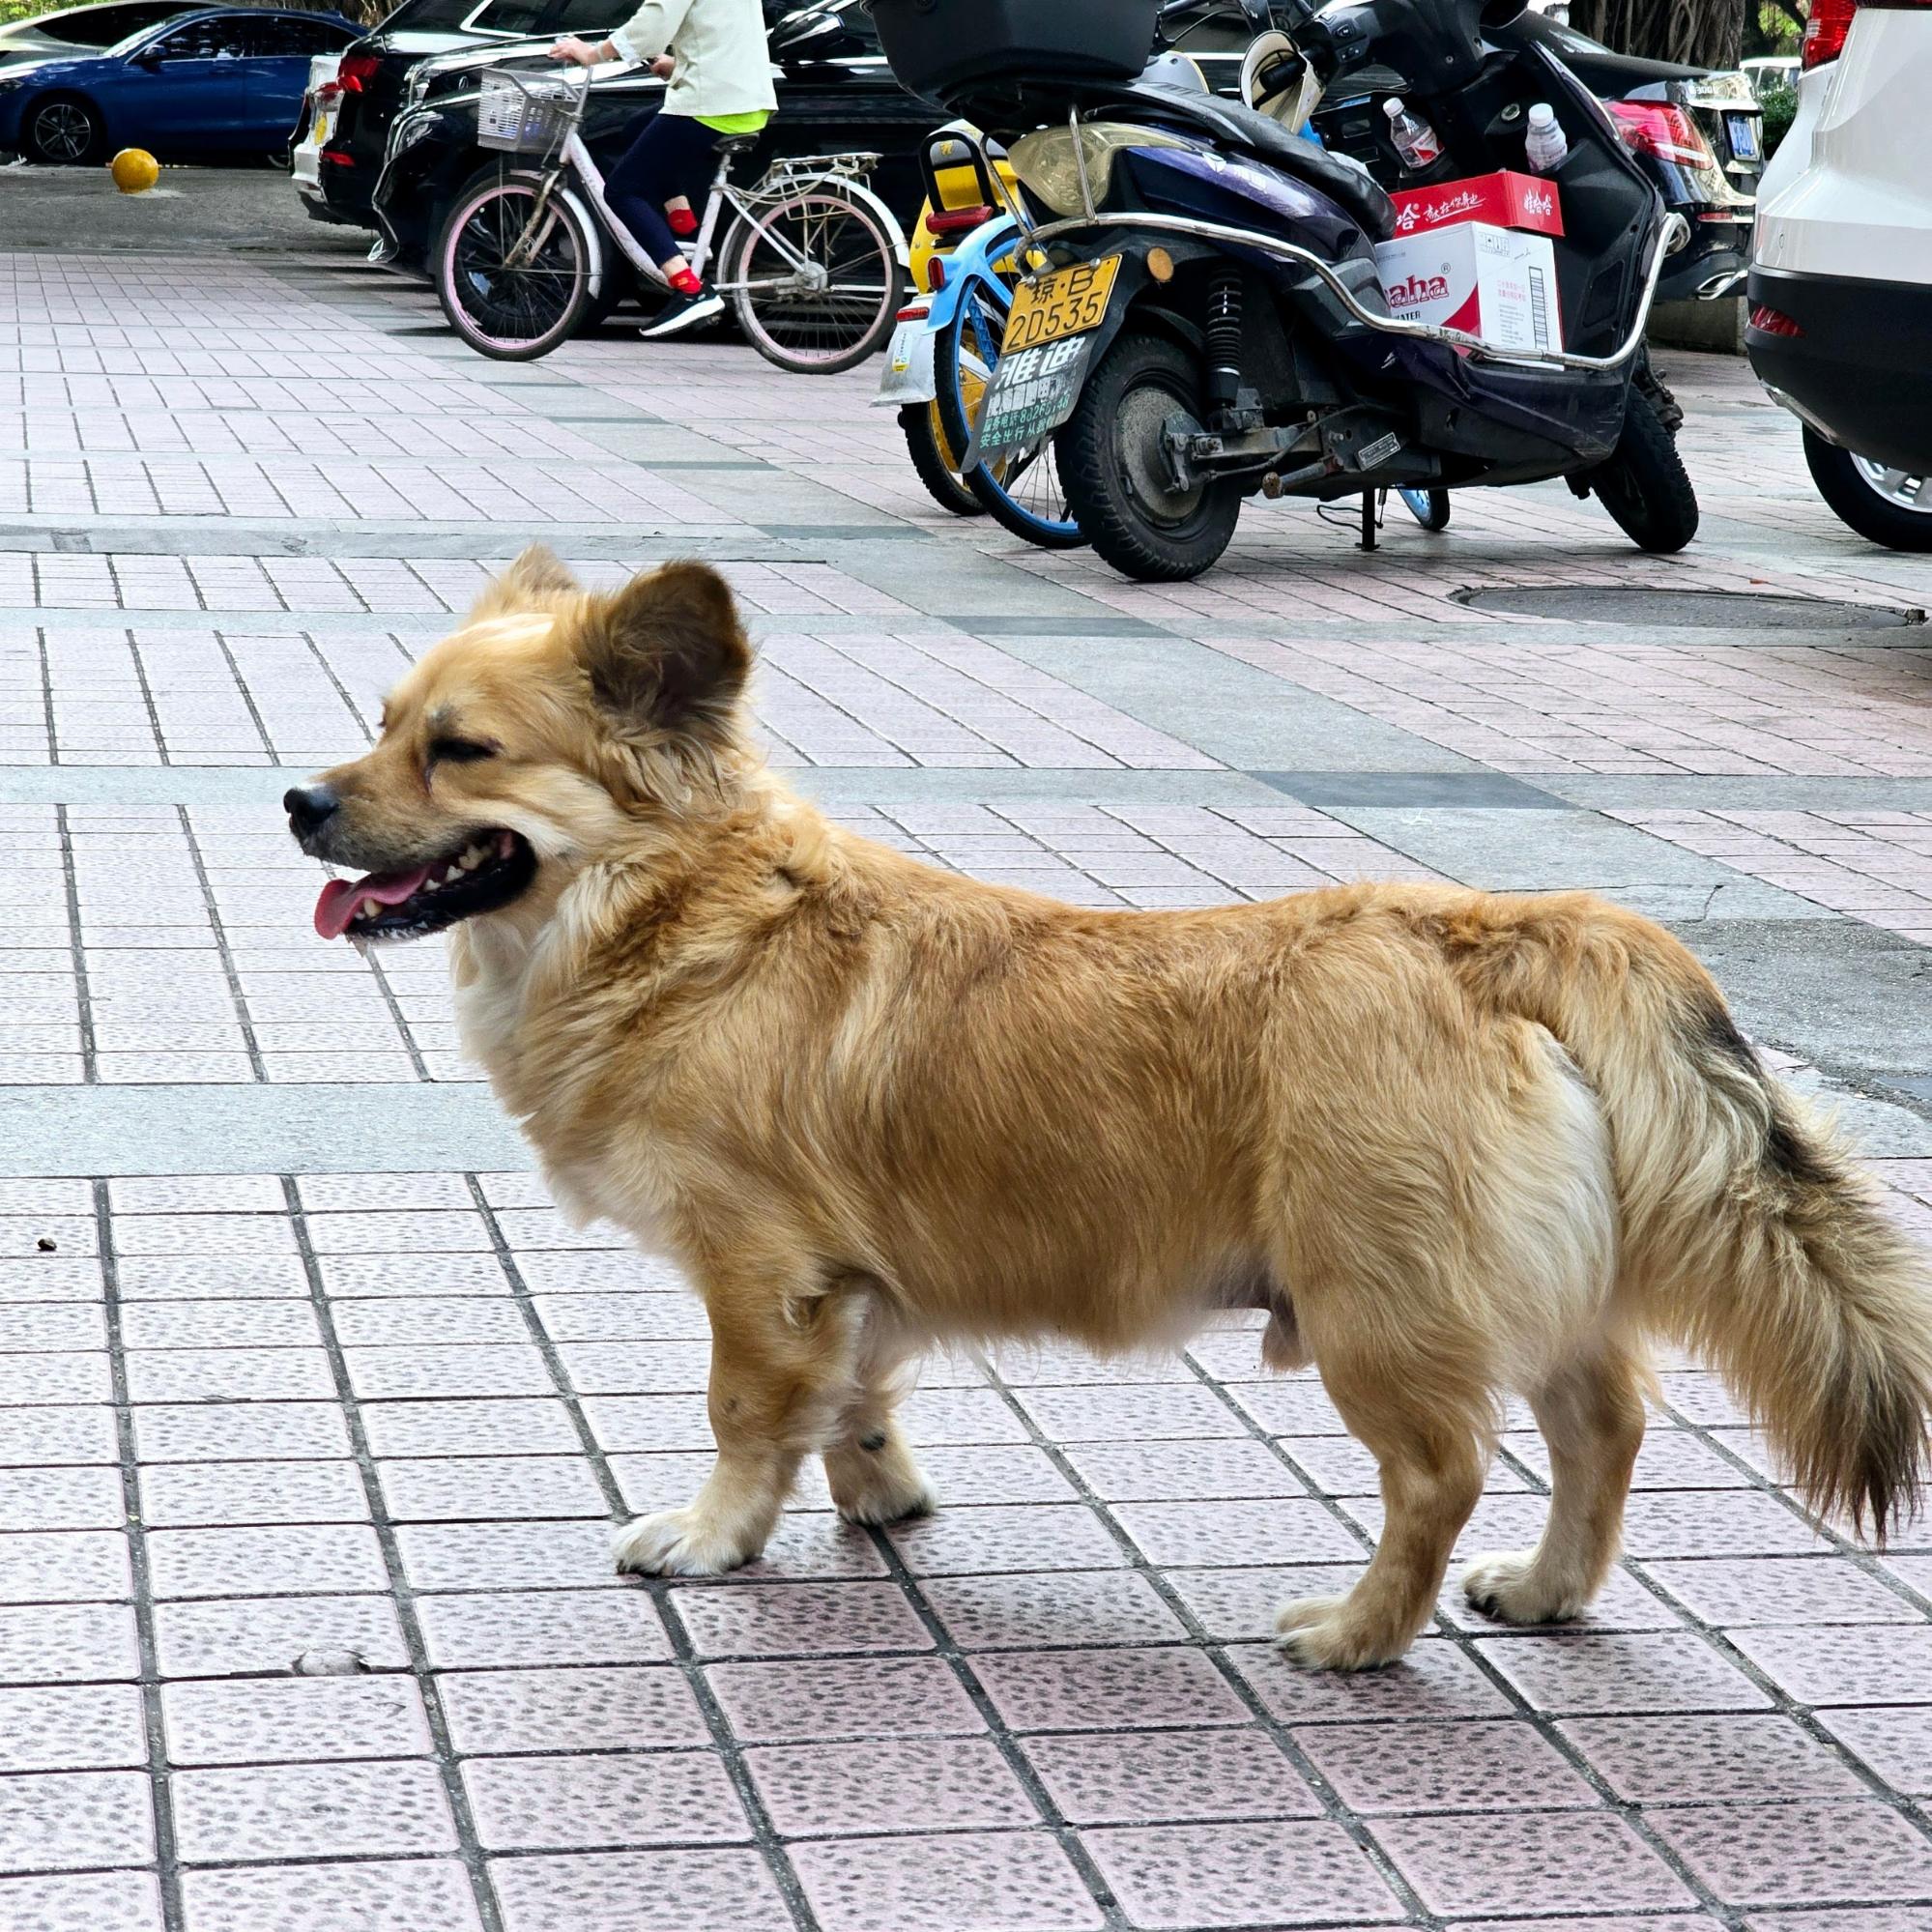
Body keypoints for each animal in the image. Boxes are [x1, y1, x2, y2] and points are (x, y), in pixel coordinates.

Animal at [281, 552, 1932, 1669]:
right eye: (377, 720)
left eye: (459, 749)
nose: (299, 802)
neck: (685, 916)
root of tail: (1504, 926)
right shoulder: (847, 1286)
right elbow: (853, 1399)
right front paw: (879, 1496)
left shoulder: (759, 1278)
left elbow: (748, 1414)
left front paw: (710, 1536)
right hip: (1531, 1297)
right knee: (1603, 1428)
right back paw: (1545, 1588)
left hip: (1374, 1312)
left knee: (1439, 1475)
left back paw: (1357, 1630)